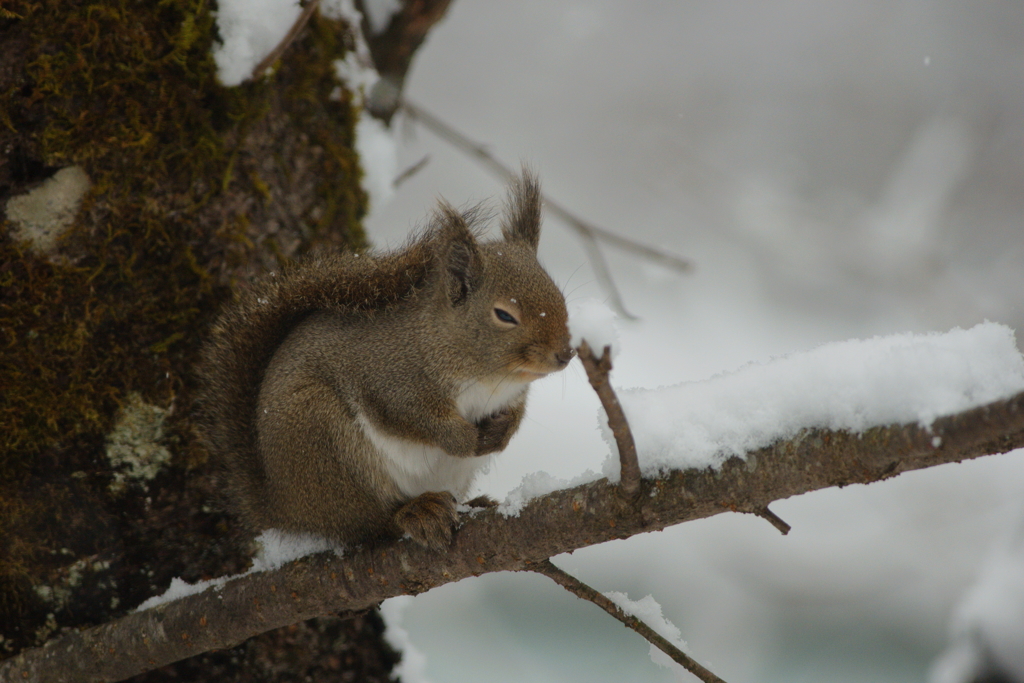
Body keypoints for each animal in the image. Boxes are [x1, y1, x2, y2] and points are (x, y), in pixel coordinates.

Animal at [195, 169, 573, 548]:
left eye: (559, 294)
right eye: (504, 315)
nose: (565, 354)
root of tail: (282, 506)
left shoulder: (511, 394)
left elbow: (516, 414)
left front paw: (503, 432)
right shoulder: (390, 379)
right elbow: (418, 418)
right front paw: (464, 439)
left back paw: (471, 503)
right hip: (325, 440)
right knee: (369, 523)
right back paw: (416, 513)